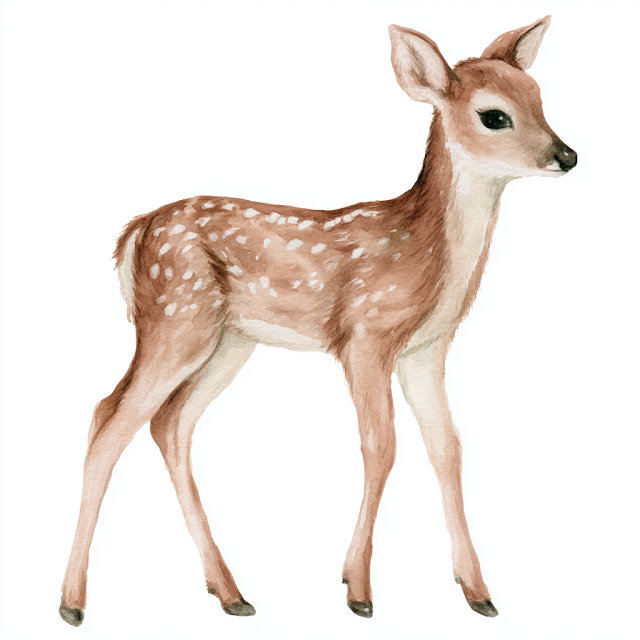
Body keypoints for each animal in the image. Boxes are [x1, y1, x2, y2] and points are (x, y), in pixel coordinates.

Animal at [59, 16, 577, 626]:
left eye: (540, 98)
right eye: (494, 115)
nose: (567, 155)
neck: (426, 255)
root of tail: (134, 233)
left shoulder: (427, 349)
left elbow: (447, 446)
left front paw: (478, 592)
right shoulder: (365, 336)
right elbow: (381, 445)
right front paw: (359, 590)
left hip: (227, 341)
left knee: (170, 423)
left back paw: (230, 592)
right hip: (174, 317)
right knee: (109, 418)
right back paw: (73, 603)